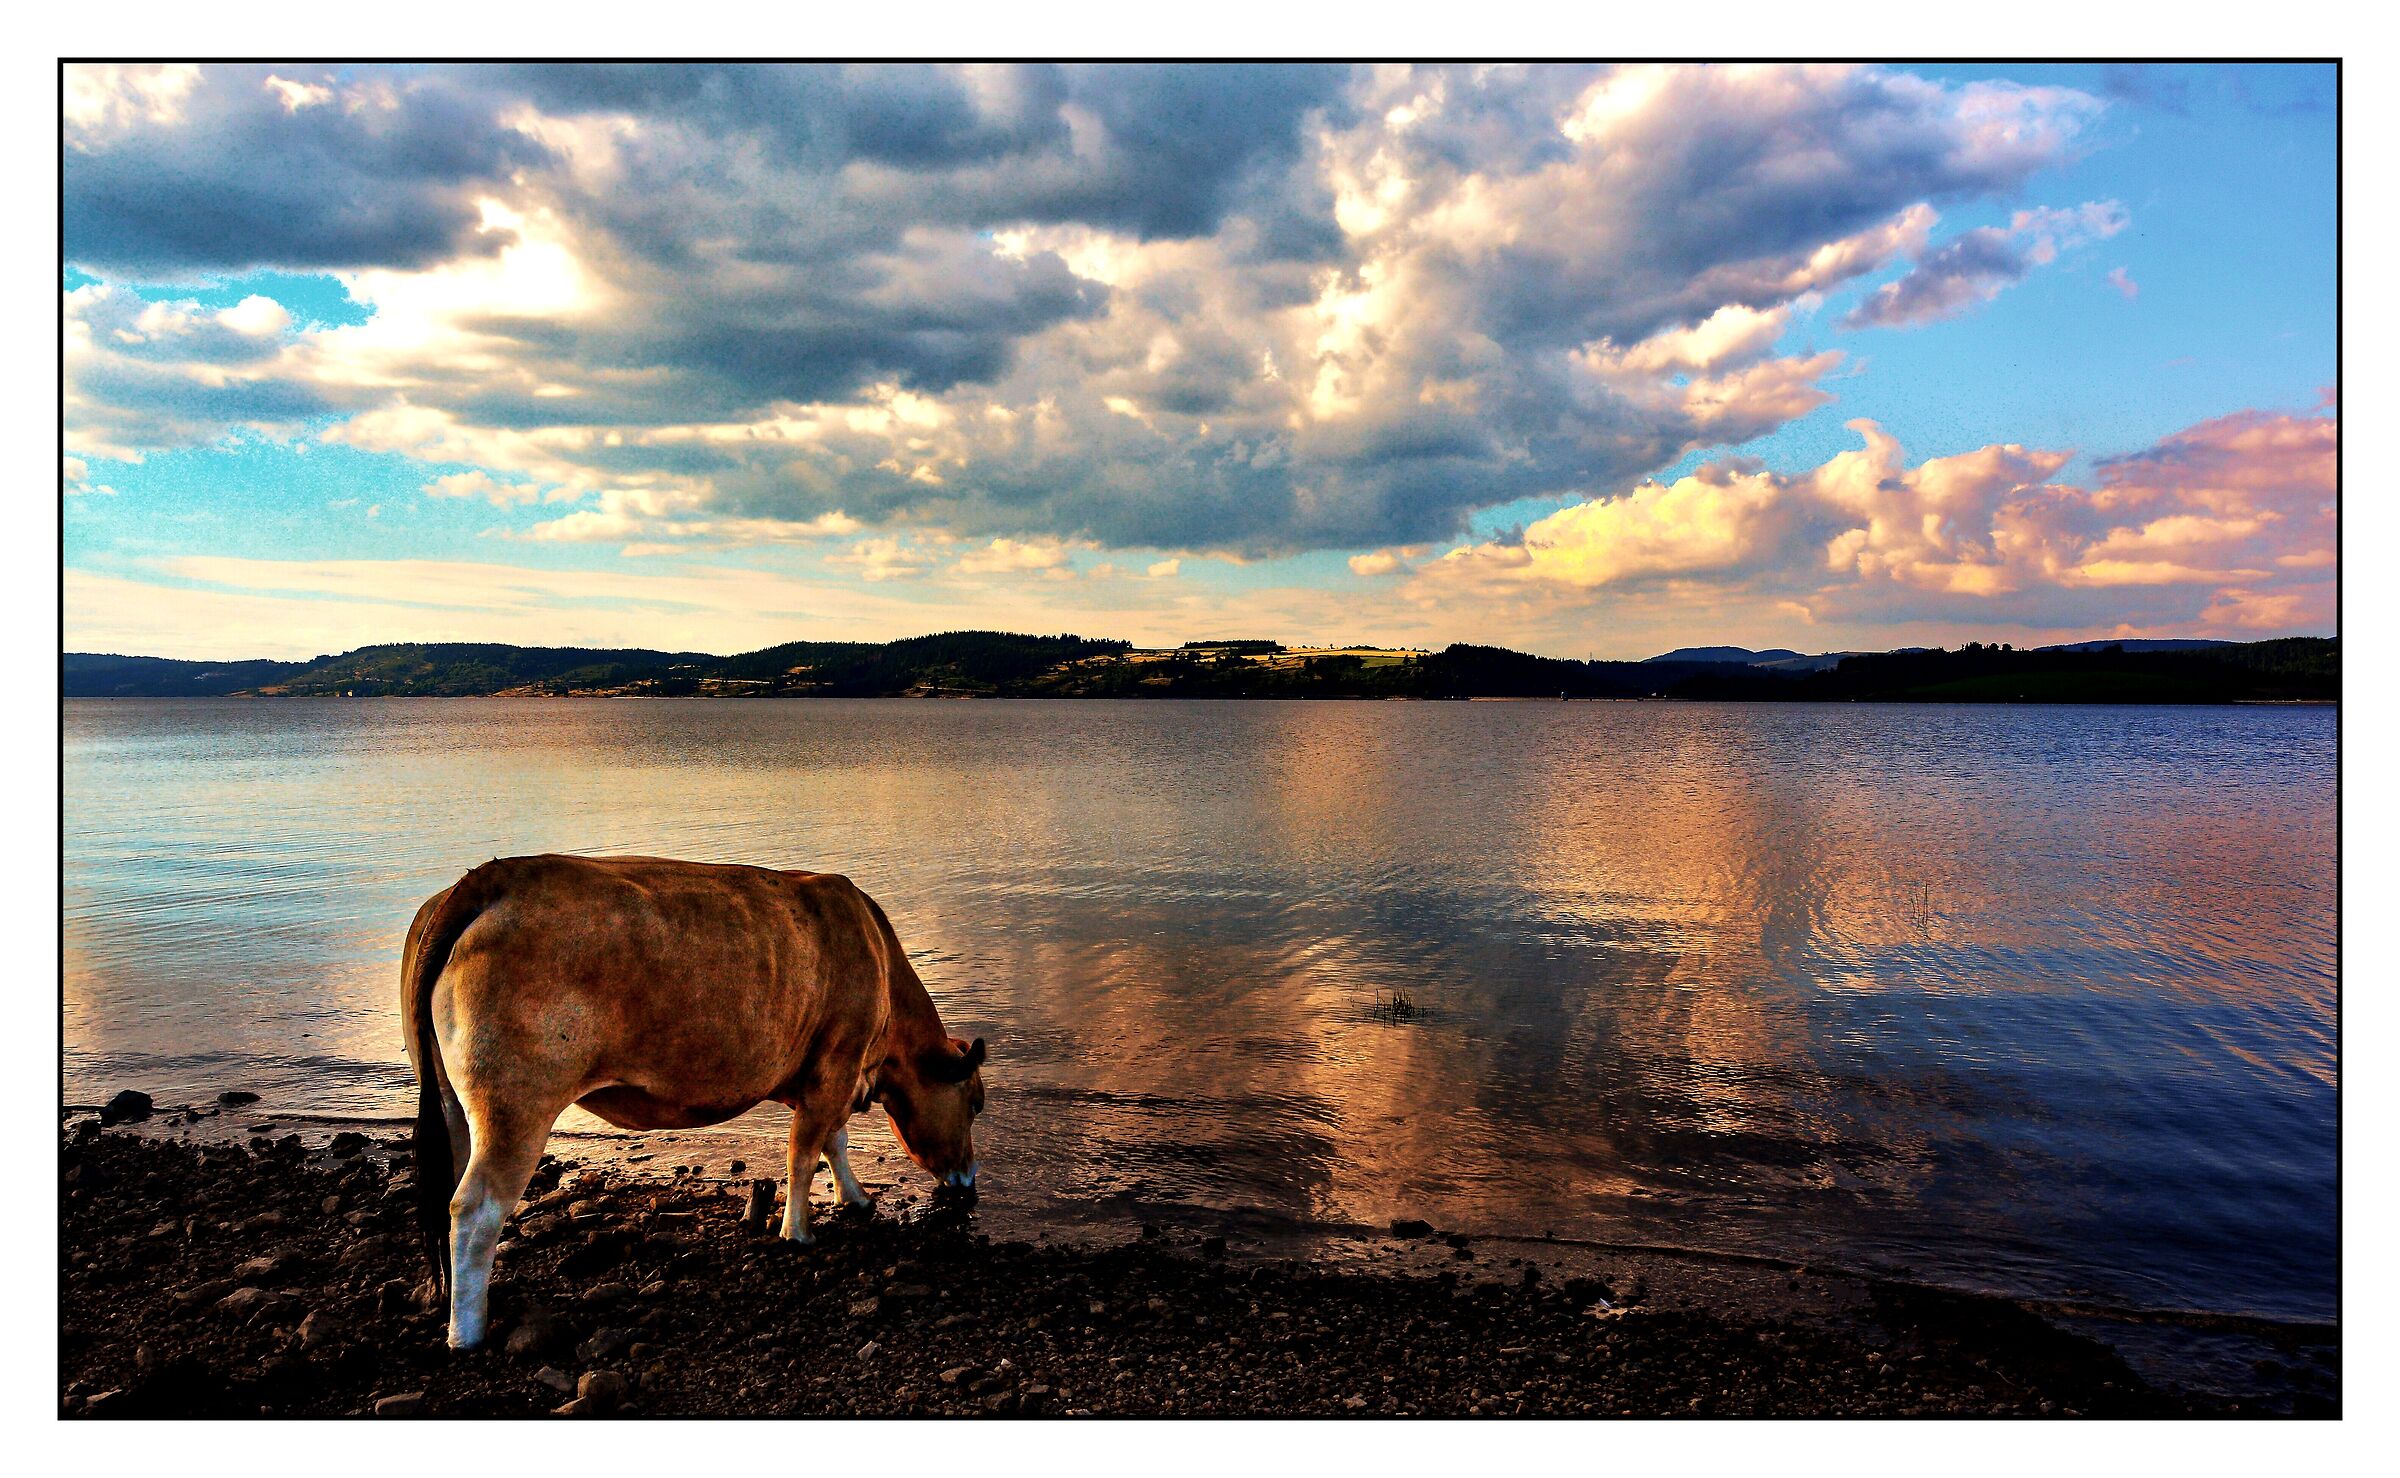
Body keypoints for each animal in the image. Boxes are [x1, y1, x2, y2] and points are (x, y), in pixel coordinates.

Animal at [400, 855, 987, 1350]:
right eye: (975, 1103)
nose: (969, 1182)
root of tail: (488, 879)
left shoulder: (829, 1074)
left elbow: (834, 1143)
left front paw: (855, 1198)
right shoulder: (836, 1063)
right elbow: (804, 1152)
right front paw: (796, 1232)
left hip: (451, 1101)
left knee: (448, 1187)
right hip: (516, 1105)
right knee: (474, 1209)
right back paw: (467, 1332)